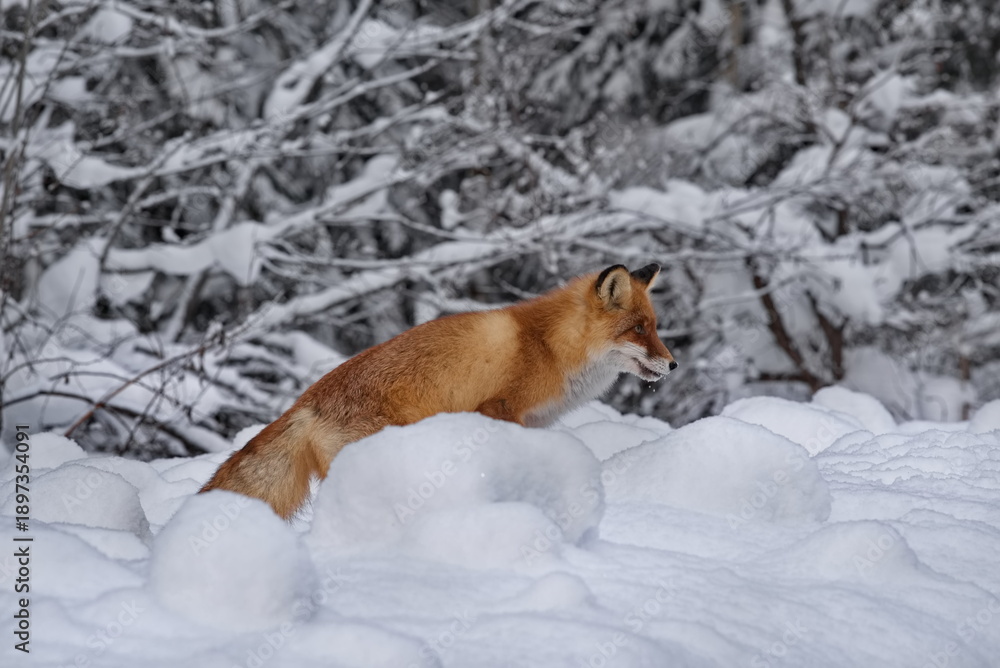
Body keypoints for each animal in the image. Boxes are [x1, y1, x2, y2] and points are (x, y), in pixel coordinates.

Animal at [200, 264, 677, 518]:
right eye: (638, 329)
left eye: (654, 327)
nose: (673, 364)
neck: (550, 346)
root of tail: (304, 402)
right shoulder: (499, 407)